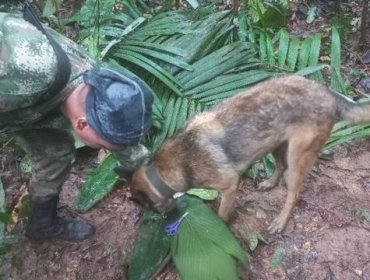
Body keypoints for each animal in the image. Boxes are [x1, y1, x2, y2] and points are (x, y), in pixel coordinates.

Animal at [128, 75, 370, 233]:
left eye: (146, 207)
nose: (164, 218)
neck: (162, 171)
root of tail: (329, 93)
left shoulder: (229, 185)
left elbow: (221, 214)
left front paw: (220, 228)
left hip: (297, 157)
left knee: (293, 193)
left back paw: (281, 221)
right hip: (275, 143)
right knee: (280, 166)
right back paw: (269, 183)